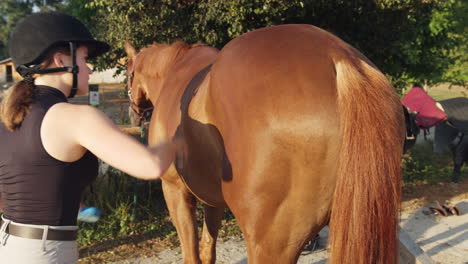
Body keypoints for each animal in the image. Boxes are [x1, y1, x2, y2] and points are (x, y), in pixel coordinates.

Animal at [125, 23, 406, 262]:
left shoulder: (174, 190)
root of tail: (340, 57)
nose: (134, 113)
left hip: (270, 244)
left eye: (128, 74)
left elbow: (192, 254)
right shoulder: (214, 199)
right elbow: (207, 249)